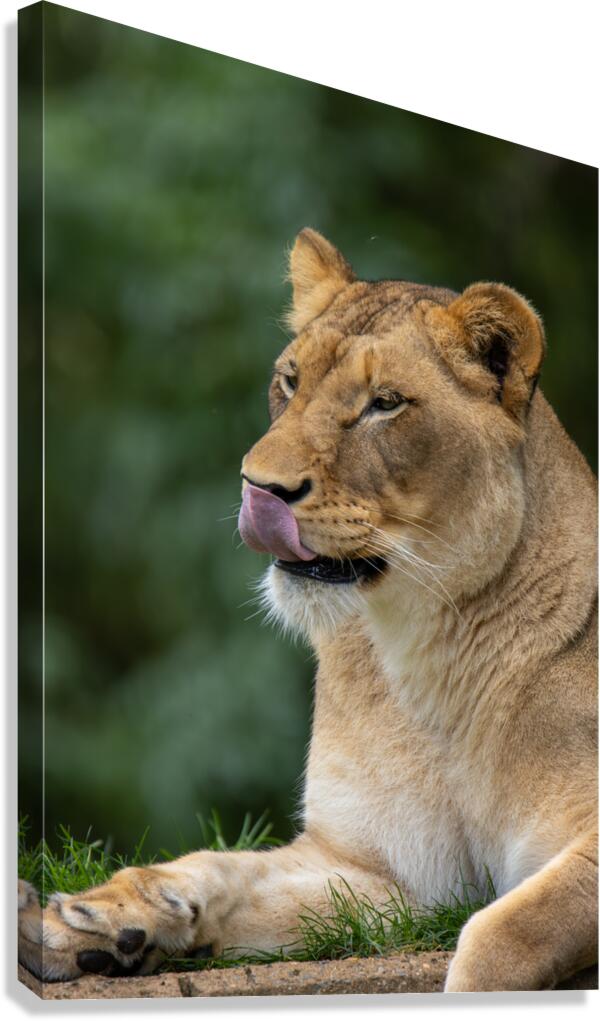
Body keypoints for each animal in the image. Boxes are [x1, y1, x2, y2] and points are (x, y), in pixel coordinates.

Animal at [19, 229, 597, 992]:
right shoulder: (386, 874)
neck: (425, 654)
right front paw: (91, 918)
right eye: (290, 381)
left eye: (385, 403)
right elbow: (222, 869)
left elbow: (501, 933)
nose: (258, 487)